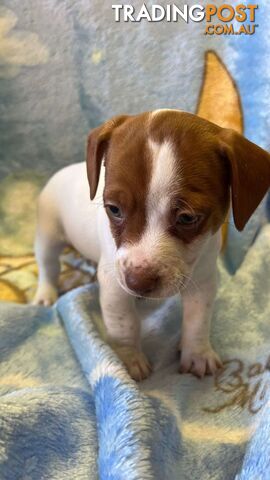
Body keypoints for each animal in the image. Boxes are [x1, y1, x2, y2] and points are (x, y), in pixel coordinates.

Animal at [33, 110, 270, 380]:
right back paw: (46, 293)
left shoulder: (204, 280)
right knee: (48, 266)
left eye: (187, 218)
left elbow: (198, 320)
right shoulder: (115, 284)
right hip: (48, 234)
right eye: (114, 209)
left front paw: (197, 352)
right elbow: (124, 324)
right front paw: (128, 360)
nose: (138, 283)